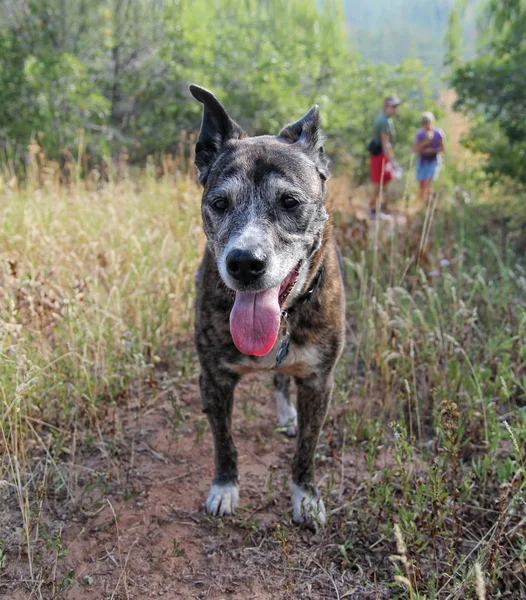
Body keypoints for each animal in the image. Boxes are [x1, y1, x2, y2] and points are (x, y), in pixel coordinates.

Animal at [191, 84, 346, 524]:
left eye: (290, 202)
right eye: (220, 203)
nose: (244, 262)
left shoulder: (318, 382)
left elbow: (306, 451)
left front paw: (305, 496)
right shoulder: (214, 380)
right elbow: (224, 442)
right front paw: (225, 487)